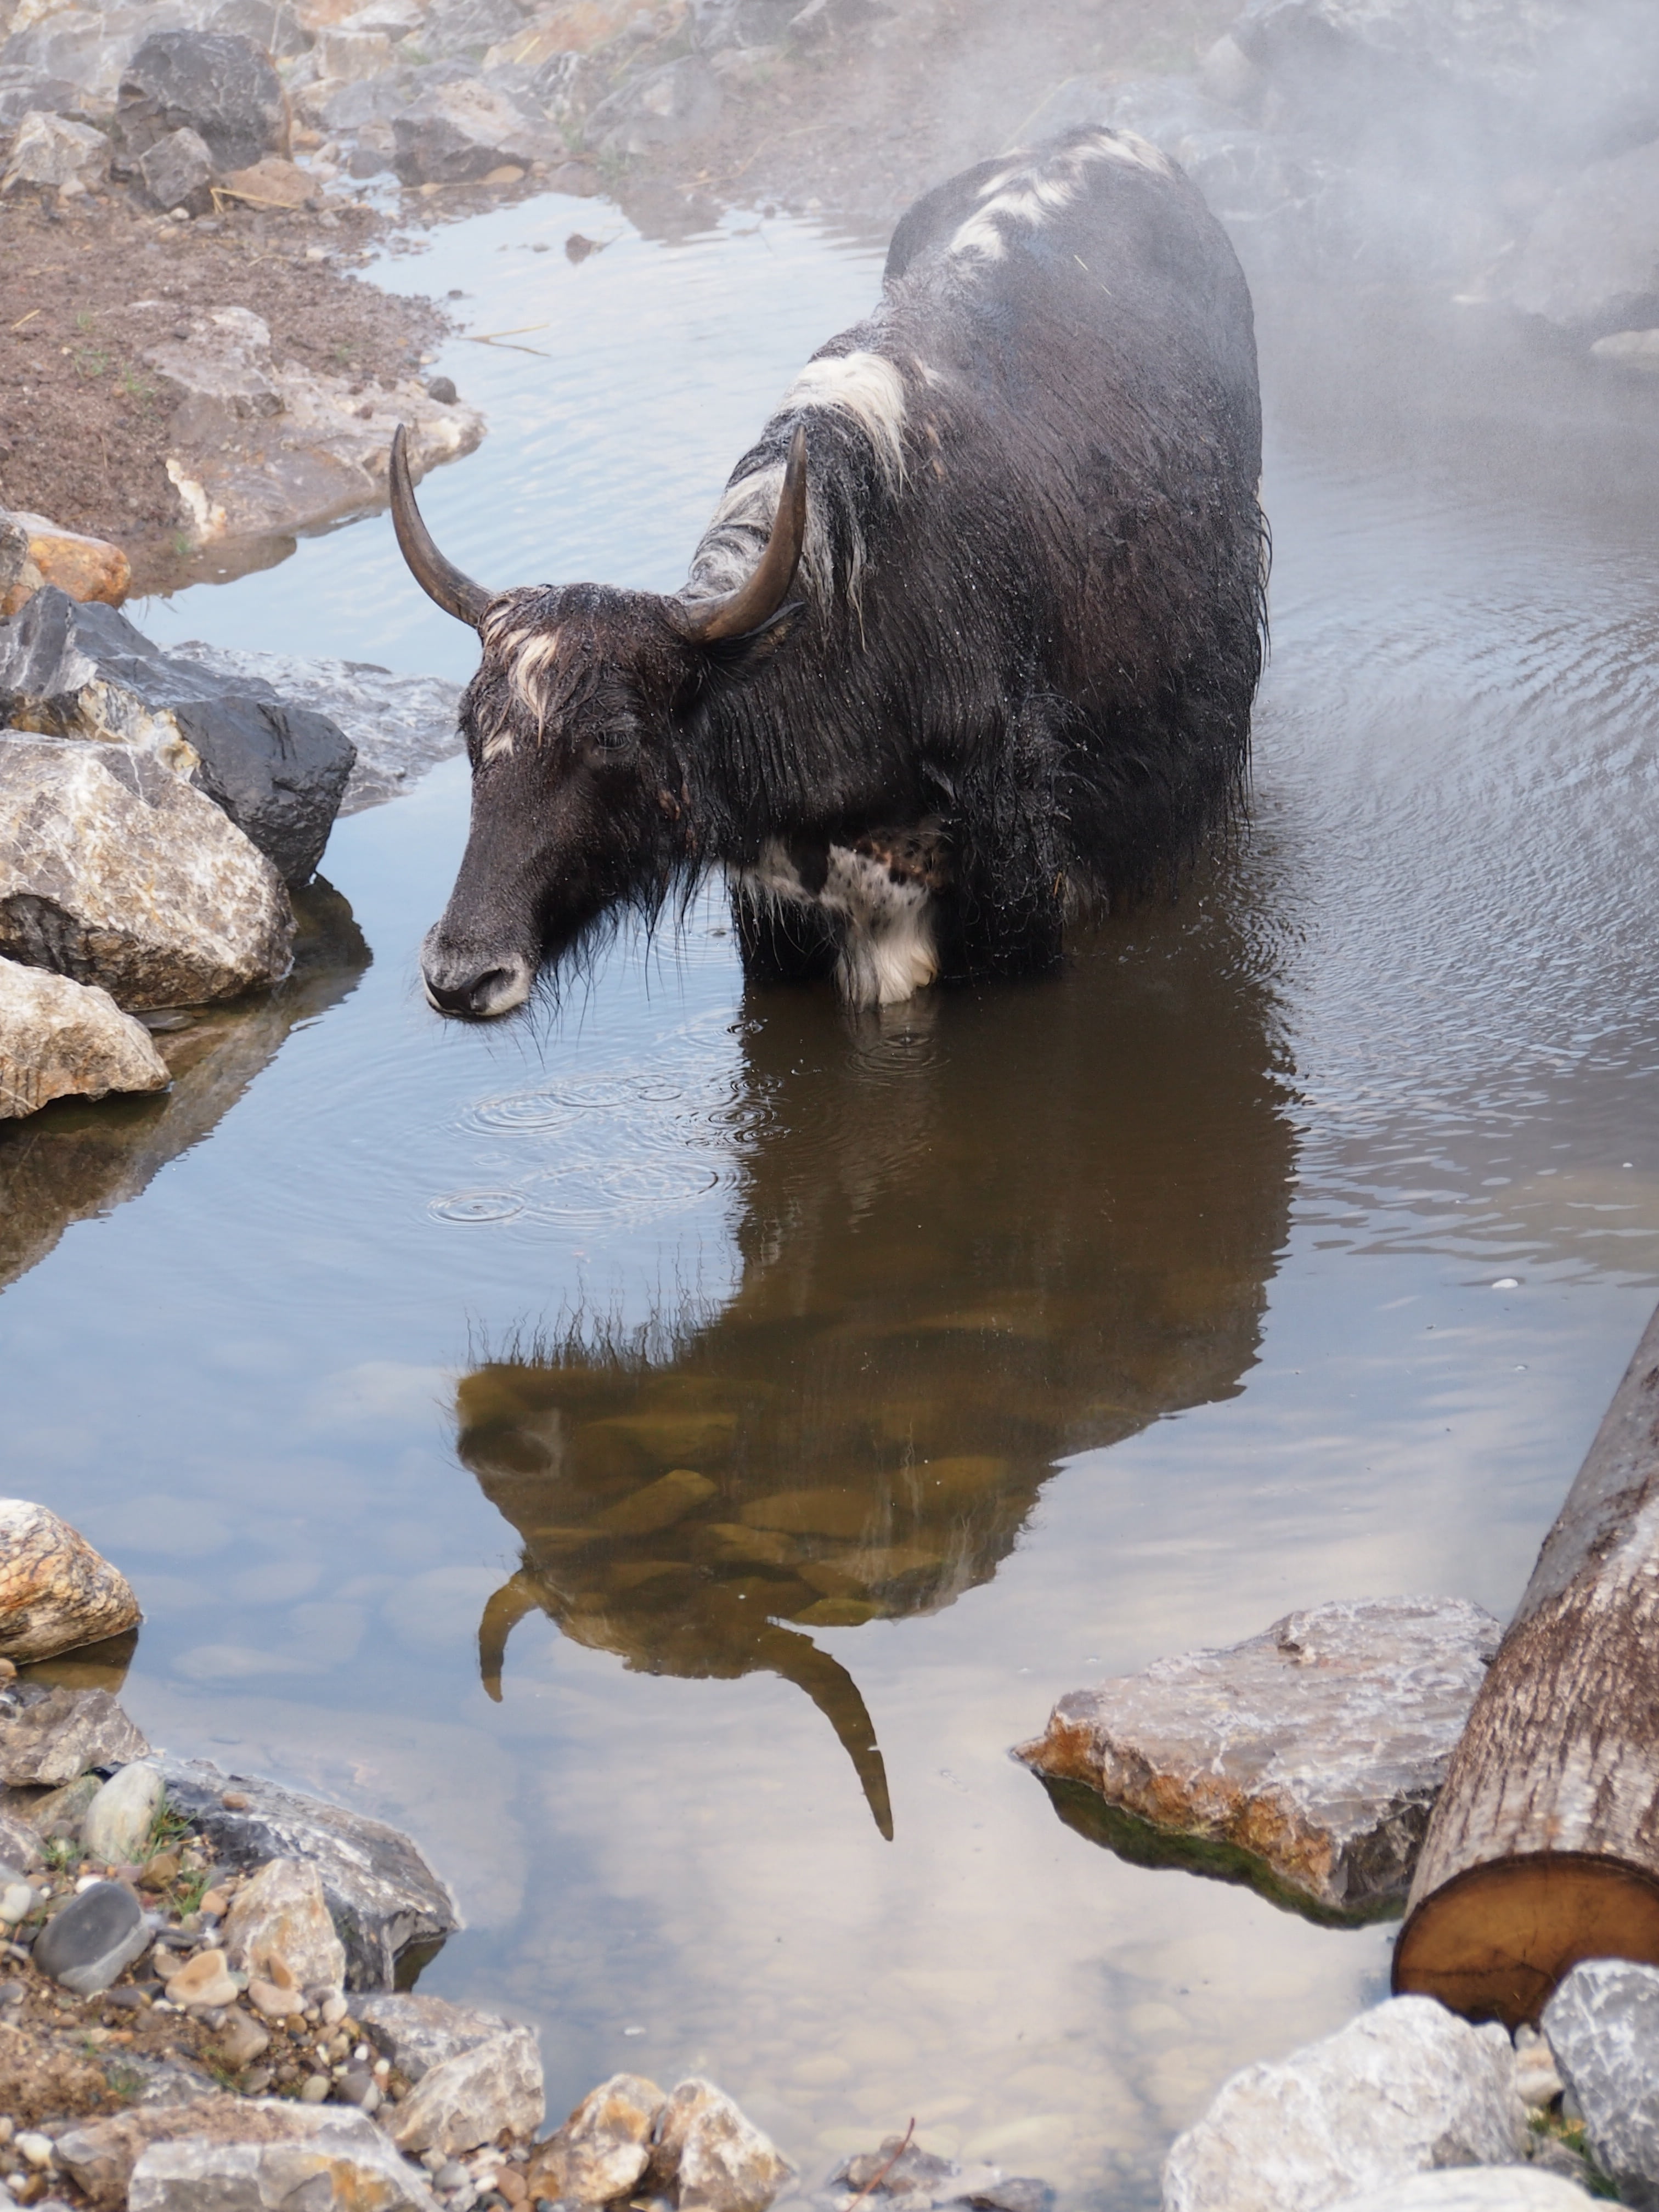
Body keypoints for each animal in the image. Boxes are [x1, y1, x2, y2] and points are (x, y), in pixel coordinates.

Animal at [393, 125, 1266, 1019]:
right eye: (470, 729)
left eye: (613, 738)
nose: (462, 975)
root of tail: (1106, 137)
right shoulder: (776, 937)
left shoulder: (1020, 907)